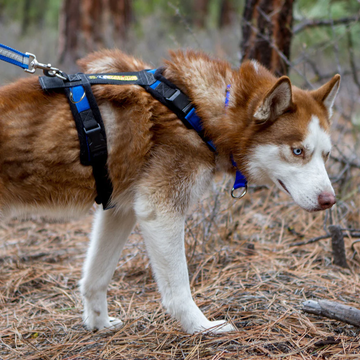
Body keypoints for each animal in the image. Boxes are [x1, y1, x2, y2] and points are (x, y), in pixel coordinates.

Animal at [0, 49, 338, 334]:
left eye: (326, 154)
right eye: (297, 151)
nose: (330, 200)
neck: (196, 112)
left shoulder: (120, 210)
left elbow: (96, 278)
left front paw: (99, 324)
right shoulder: (159, 210)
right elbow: (179, 289)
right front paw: (202, 328)